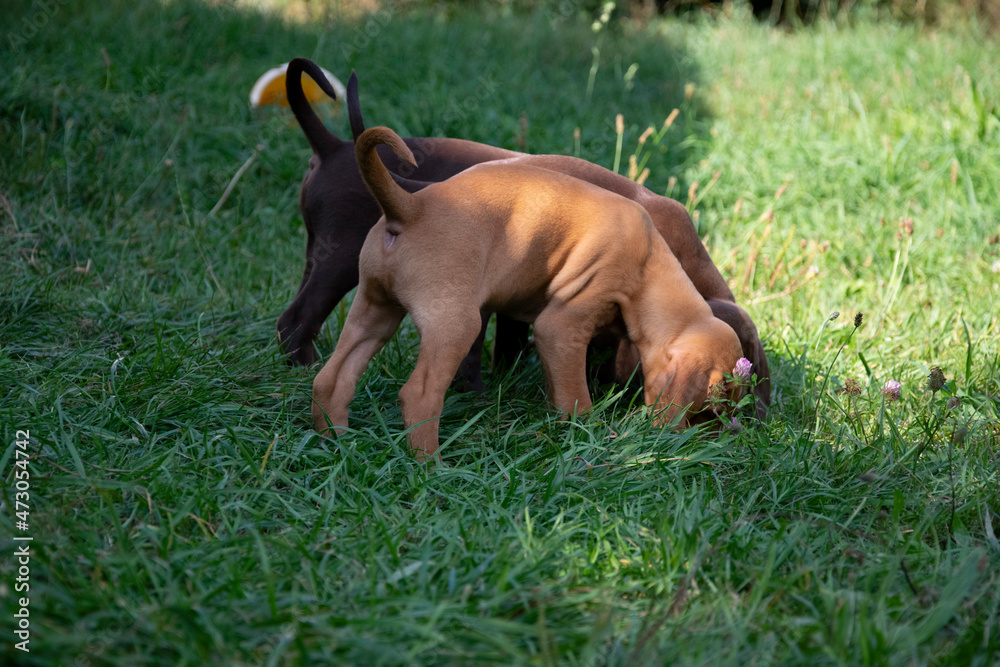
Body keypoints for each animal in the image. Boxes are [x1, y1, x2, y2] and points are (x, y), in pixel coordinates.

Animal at [312, 126, 744, 460]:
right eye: (711, 410)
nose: (727, 444)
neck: (649, 266)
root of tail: (410, 206)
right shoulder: (561, 326)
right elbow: (577, 397)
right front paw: (594, 438)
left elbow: (561, 390)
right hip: (456, 324)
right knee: (419, 396)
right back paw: (431, 466)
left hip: (374, 310)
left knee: (331, 380)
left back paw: (337, 444)